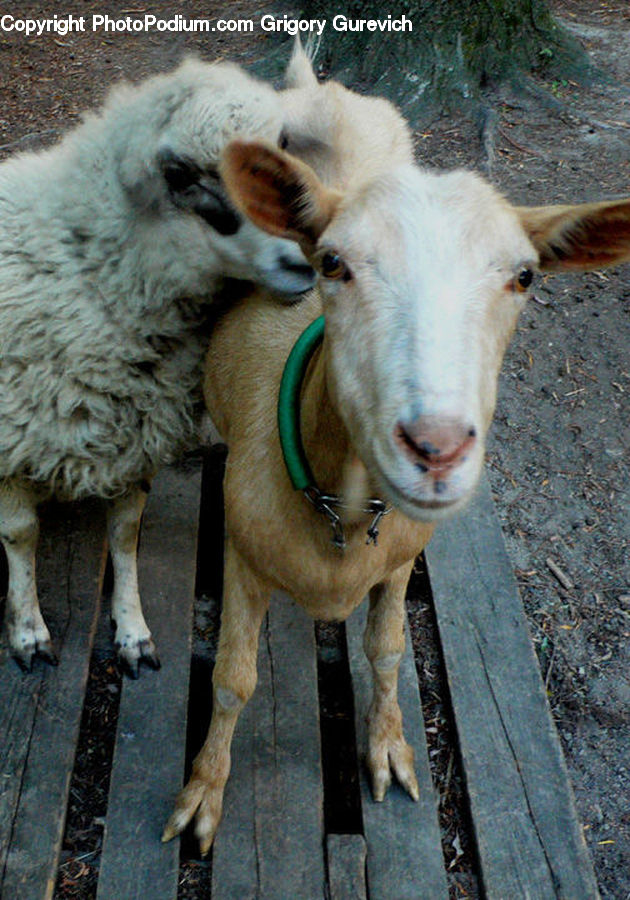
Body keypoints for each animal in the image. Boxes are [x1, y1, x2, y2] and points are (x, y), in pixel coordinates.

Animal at [0, 58, 316, 677]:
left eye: (282, 149)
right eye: (179, 173)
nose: (305, 260)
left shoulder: (136, 429)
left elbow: (125, 534)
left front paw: (133, 631)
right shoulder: (12, 438)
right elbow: (20, 535)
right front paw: (28, 632)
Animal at [162, 49, 630, 855]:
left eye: (525, 275)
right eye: (332, 262)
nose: (436, 448)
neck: (342, 510)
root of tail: (324, 85)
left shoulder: (400, 561)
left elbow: (387, 653)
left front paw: (388, 748)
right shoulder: (243, 560)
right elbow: (231, 679)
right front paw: (202, 796)